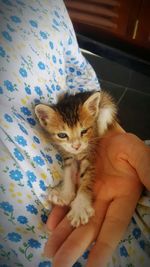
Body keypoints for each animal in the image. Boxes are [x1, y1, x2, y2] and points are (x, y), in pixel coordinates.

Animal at [35, 90, 117, 228]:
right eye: (62, 135)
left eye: (84, 131)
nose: (76, 146)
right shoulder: (67, 154)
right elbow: (68, 171)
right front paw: (65, 195)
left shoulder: (89, 154)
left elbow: (87, 177)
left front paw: (80, 207)